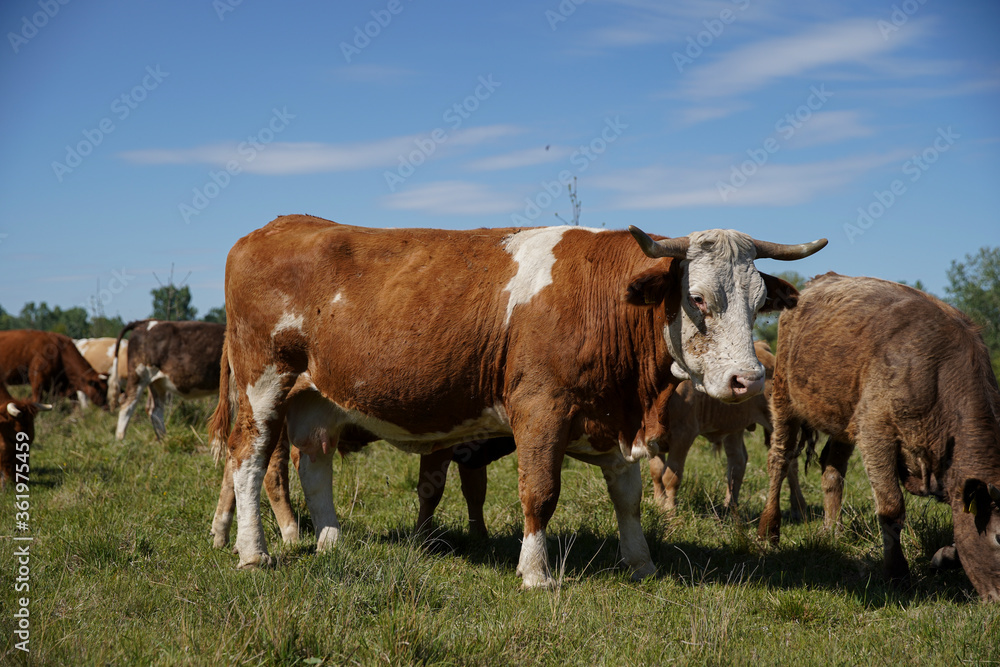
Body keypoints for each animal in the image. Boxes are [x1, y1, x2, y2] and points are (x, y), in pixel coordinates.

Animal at [652, 340, 808, 516]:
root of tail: (762, 347)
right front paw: (658, 504)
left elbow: (671, 476)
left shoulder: (684, 434)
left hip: (777, 422)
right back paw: (730, 507)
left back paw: (799, 508)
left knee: (791, 462)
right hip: (734, 425)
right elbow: (656, 471)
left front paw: (670, 512)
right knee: (737, 462)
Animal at [756, 274, 1000, 604]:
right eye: (999, 537)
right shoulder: (876, 433)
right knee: (779, 460)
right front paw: (897, 575)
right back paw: (769, 530)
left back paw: (832, 531)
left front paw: (945, 556)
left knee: (832, 469)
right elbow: (891, 507)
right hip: (784, 399)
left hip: (843, 415)